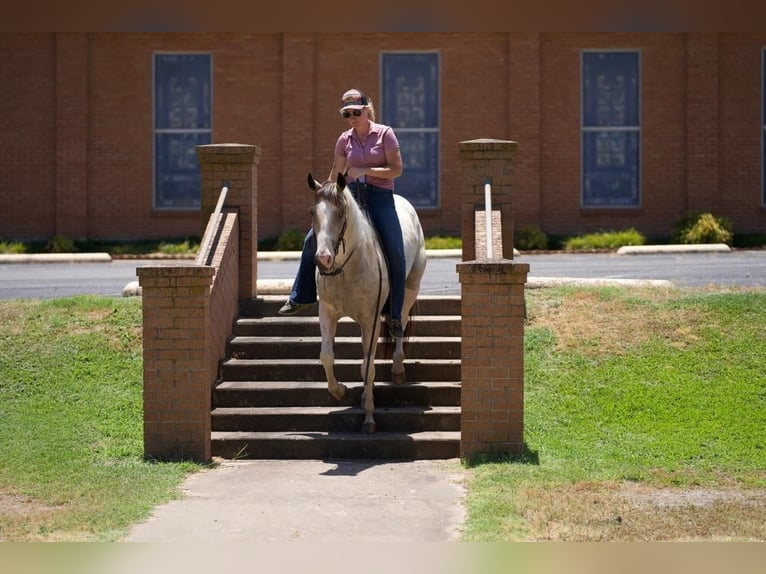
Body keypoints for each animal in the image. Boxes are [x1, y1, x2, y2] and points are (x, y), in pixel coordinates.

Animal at [308, 173, 428, 434]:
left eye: (340, 212)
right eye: (313, 212)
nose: (323, 258)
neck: (347, 267)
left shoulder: (370, 320)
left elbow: (368, 367)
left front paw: (369, 419)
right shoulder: (327, 313)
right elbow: (327, 357)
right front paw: (341, 392)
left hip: (410, 289)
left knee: (401, 324)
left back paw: (398, 369)